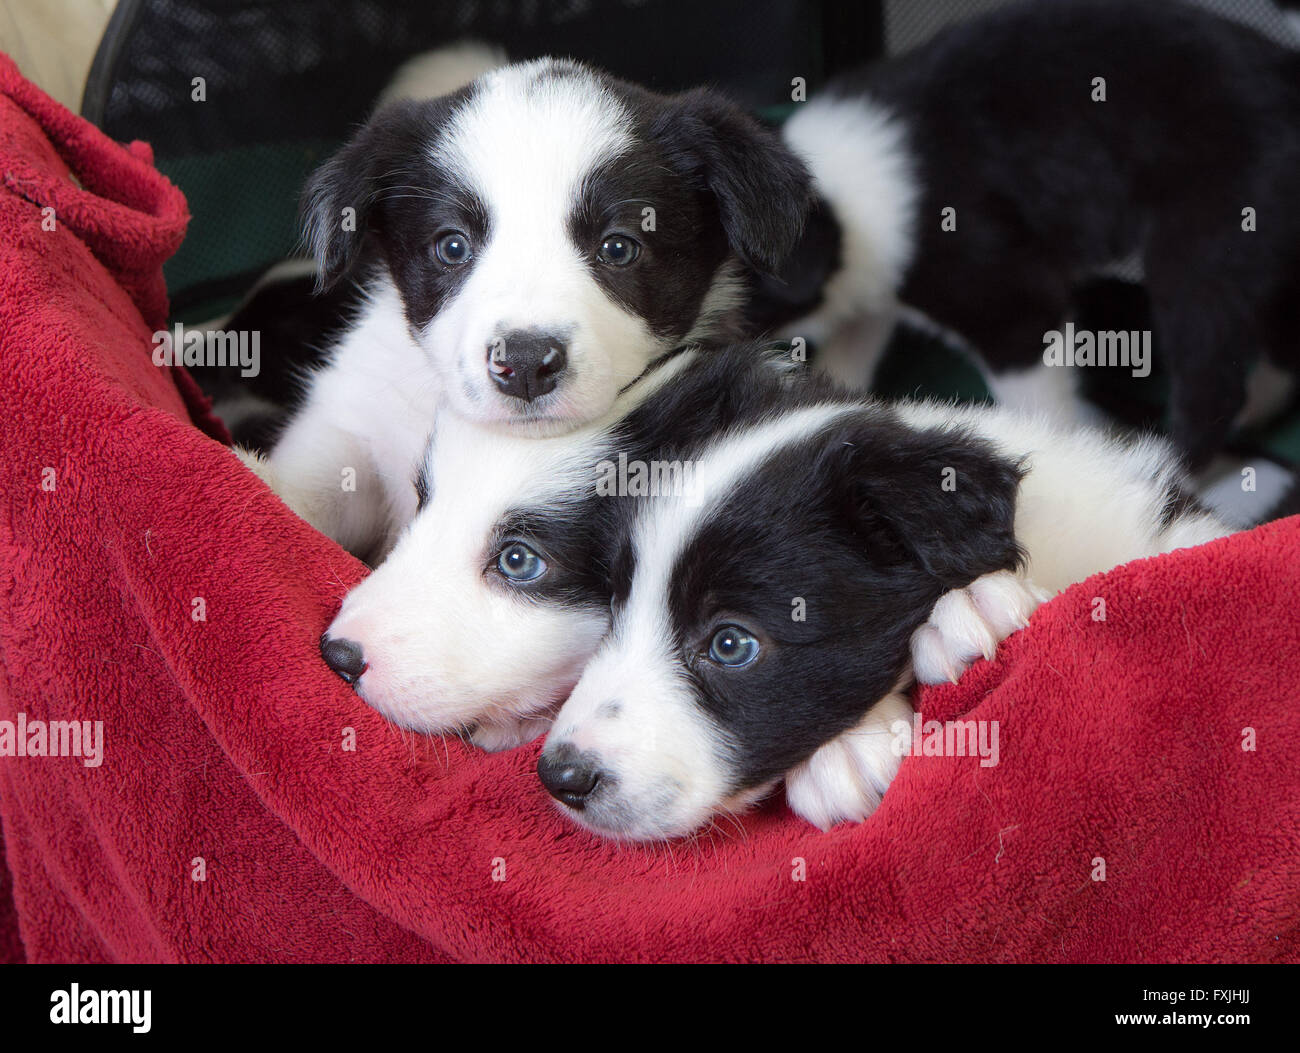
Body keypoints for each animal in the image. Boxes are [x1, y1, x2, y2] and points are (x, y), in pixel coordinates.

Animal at [754, 0, 1300, 462]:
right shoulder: (877, 291)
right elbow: (850, 351)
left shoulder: (1007, 302)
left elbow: (1040, 405)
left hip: (1208, 237)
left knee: (1212, 379)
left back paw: (1173, 464)